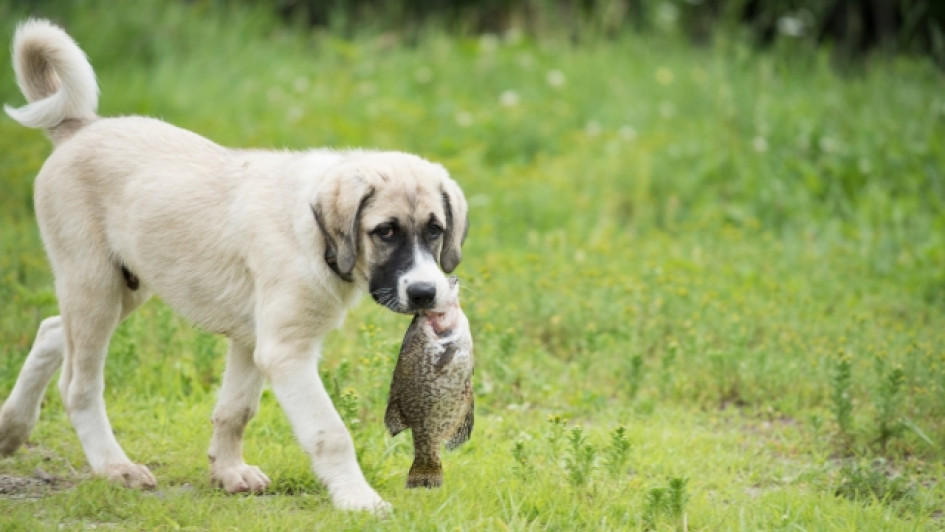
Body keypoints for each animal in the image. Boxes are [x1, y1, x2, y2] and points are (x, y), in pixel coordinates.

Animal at [0, 18, 468, 512]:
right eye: (385, 232)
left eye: (435, 230)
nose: (425, 293)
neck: (318, 237)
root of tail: (79, 128)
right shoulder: (285, 349)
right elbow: (330, 432)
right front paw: (358, 499)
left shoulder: (252, 339)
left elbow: (236, 410)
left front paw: (228, 472)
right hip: (94, 284)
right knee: (78, 384)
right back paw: (113, 466)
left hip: (126, 285)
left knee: (51, 330)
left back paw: (11, 429)